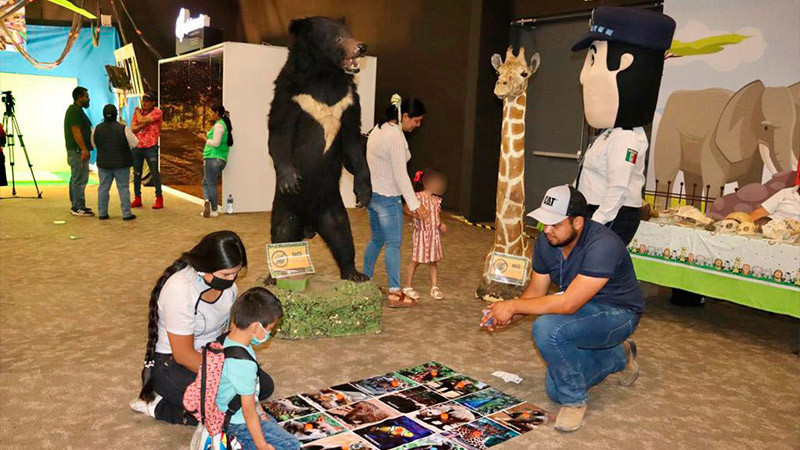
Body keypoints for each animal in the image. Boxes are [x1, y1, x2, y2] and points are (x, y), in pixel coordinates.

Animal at [268, 16, 370, 282]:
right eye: (339, 38)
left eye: (351, 33)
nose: (361, 46)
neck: (325, 76)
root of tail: (309, 223)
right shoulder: (290, 94)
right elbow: (278, 133)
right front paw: (290, 179)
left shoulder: (350, 101)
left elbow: (353, 142)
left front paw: (364, 192)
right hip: (286, 208)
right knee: (281, 233)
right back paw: (273, 276)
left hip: (333, 207)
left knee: (343, 238)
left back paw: (355, 273)